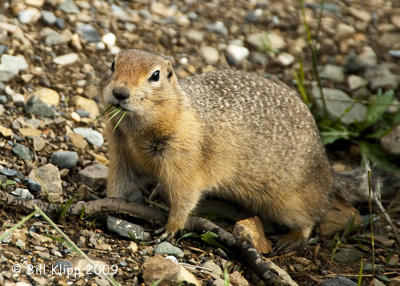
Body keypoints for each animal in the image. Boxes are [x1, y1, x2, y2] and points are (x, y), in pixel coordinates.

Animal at [101, 49, 376, 250]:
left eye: (155, 75)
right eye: (113, 64)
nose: (119, 92)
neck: (138, 130)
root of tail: (328, 171)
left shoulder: (185, 163)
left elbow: (184, 197)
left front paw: (170, 227)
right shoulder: (122, 152)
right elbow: (119, 180)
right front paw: (108, 202)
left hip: (289, 202)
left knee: (310, 218)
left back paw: (290, 239)